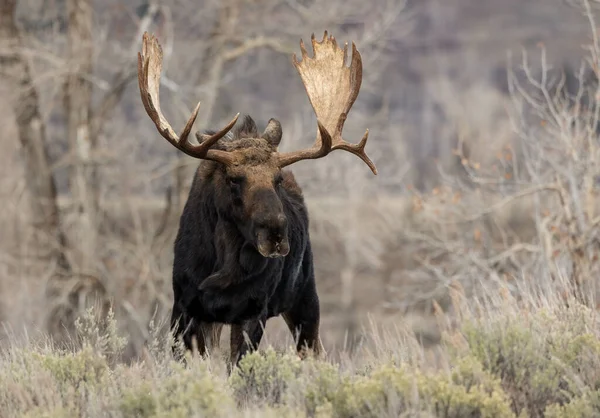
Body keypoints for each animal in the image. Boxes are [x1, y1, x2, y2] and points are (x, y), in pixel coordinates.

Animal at [138, 31, 378, 368]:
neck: (222, 267)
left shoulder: (253, 312)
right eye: (233, 179)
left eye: (277, 180)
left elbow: (238, 368)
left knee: (313, 351)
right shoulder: (184, 308)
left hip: (306, 297)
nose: (276, 233)